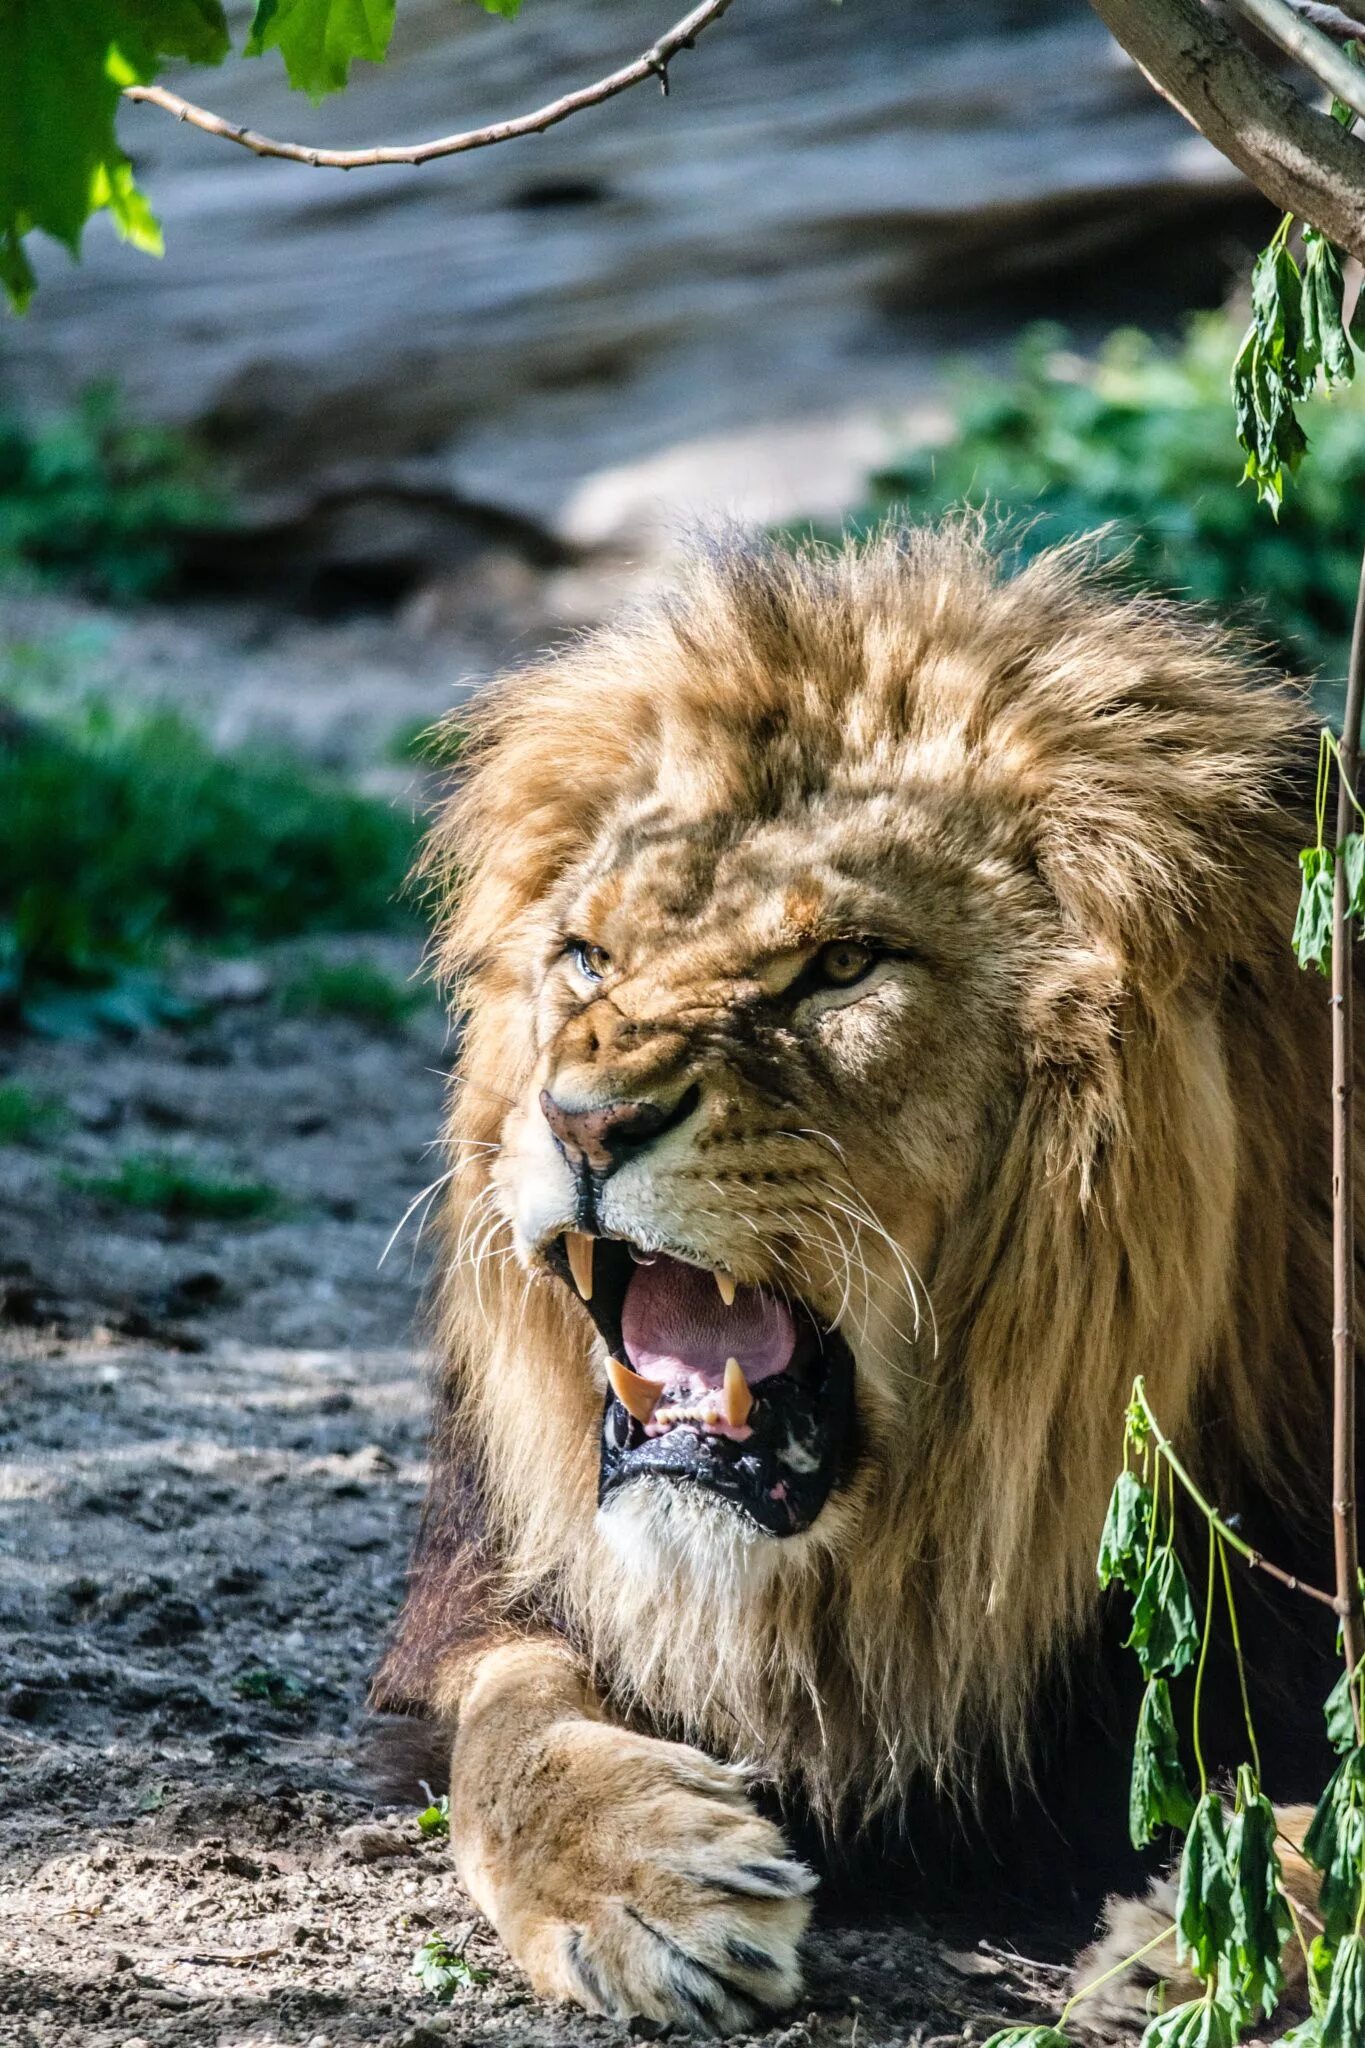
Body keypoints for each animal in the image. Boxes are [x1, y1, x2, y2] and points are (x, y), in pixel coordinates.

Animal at [374, 528, 1342, 2031]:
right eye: (586, 957)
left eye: (840, 966)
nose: (584, 1119)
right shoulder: (492, 1605)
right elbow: (512, 1711)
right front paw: (645, 1881)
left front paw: (1212, 1938)